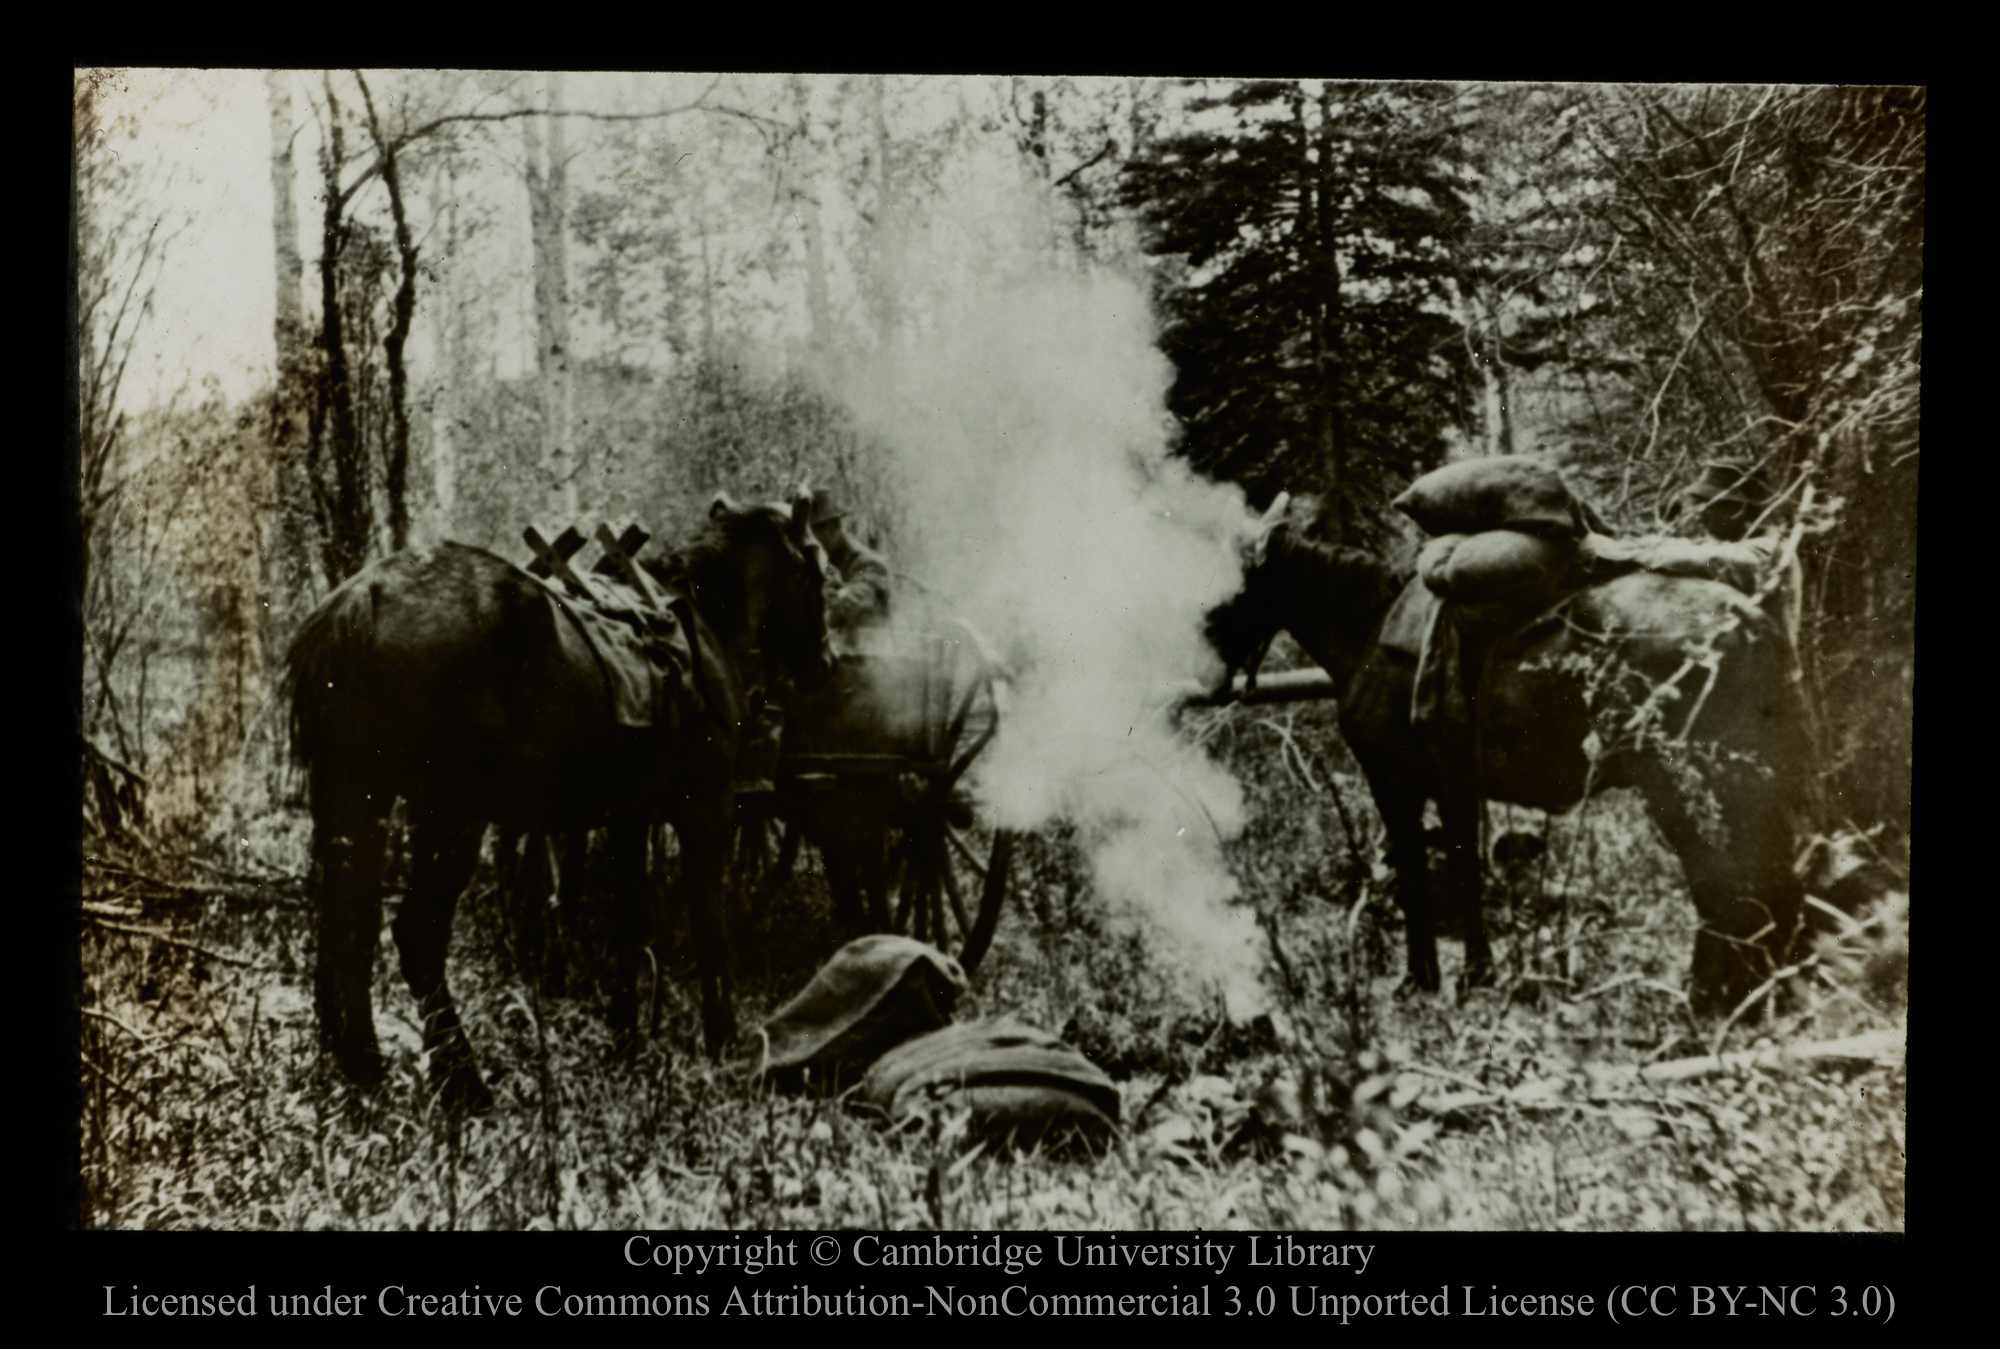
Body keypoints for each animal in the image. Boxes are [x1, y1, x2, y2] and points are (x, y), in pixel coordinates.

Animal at [286, 494, 832, 1104]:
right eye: (816, 570)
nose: (826, 664)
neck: (699, 619)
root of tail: (366, 595)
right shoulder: (704, 811)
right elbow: (709, 925)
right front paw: (723, 1040)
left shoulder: (629, 816)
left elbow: (631, 920)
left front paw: (627, 1038)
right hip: (452, 817)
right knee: (417, 933)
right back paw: (463, 1080)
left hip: (357, 802)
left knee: (345, 923)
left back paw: (362, 1064)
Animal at [1200, 520, 1816, 1012]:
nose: (1198, 673)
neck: (1368, 631)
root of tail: (1746, 615)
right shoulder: (1454, 788)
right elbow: (1462, 869)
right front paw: (1472, 974)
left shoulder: (1396, 785)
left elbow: (1428, 878)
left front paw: (1432, 979)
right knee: (1766, 878)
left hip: (1685, 782)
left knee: (1728, 878)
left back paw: (1710, 998)